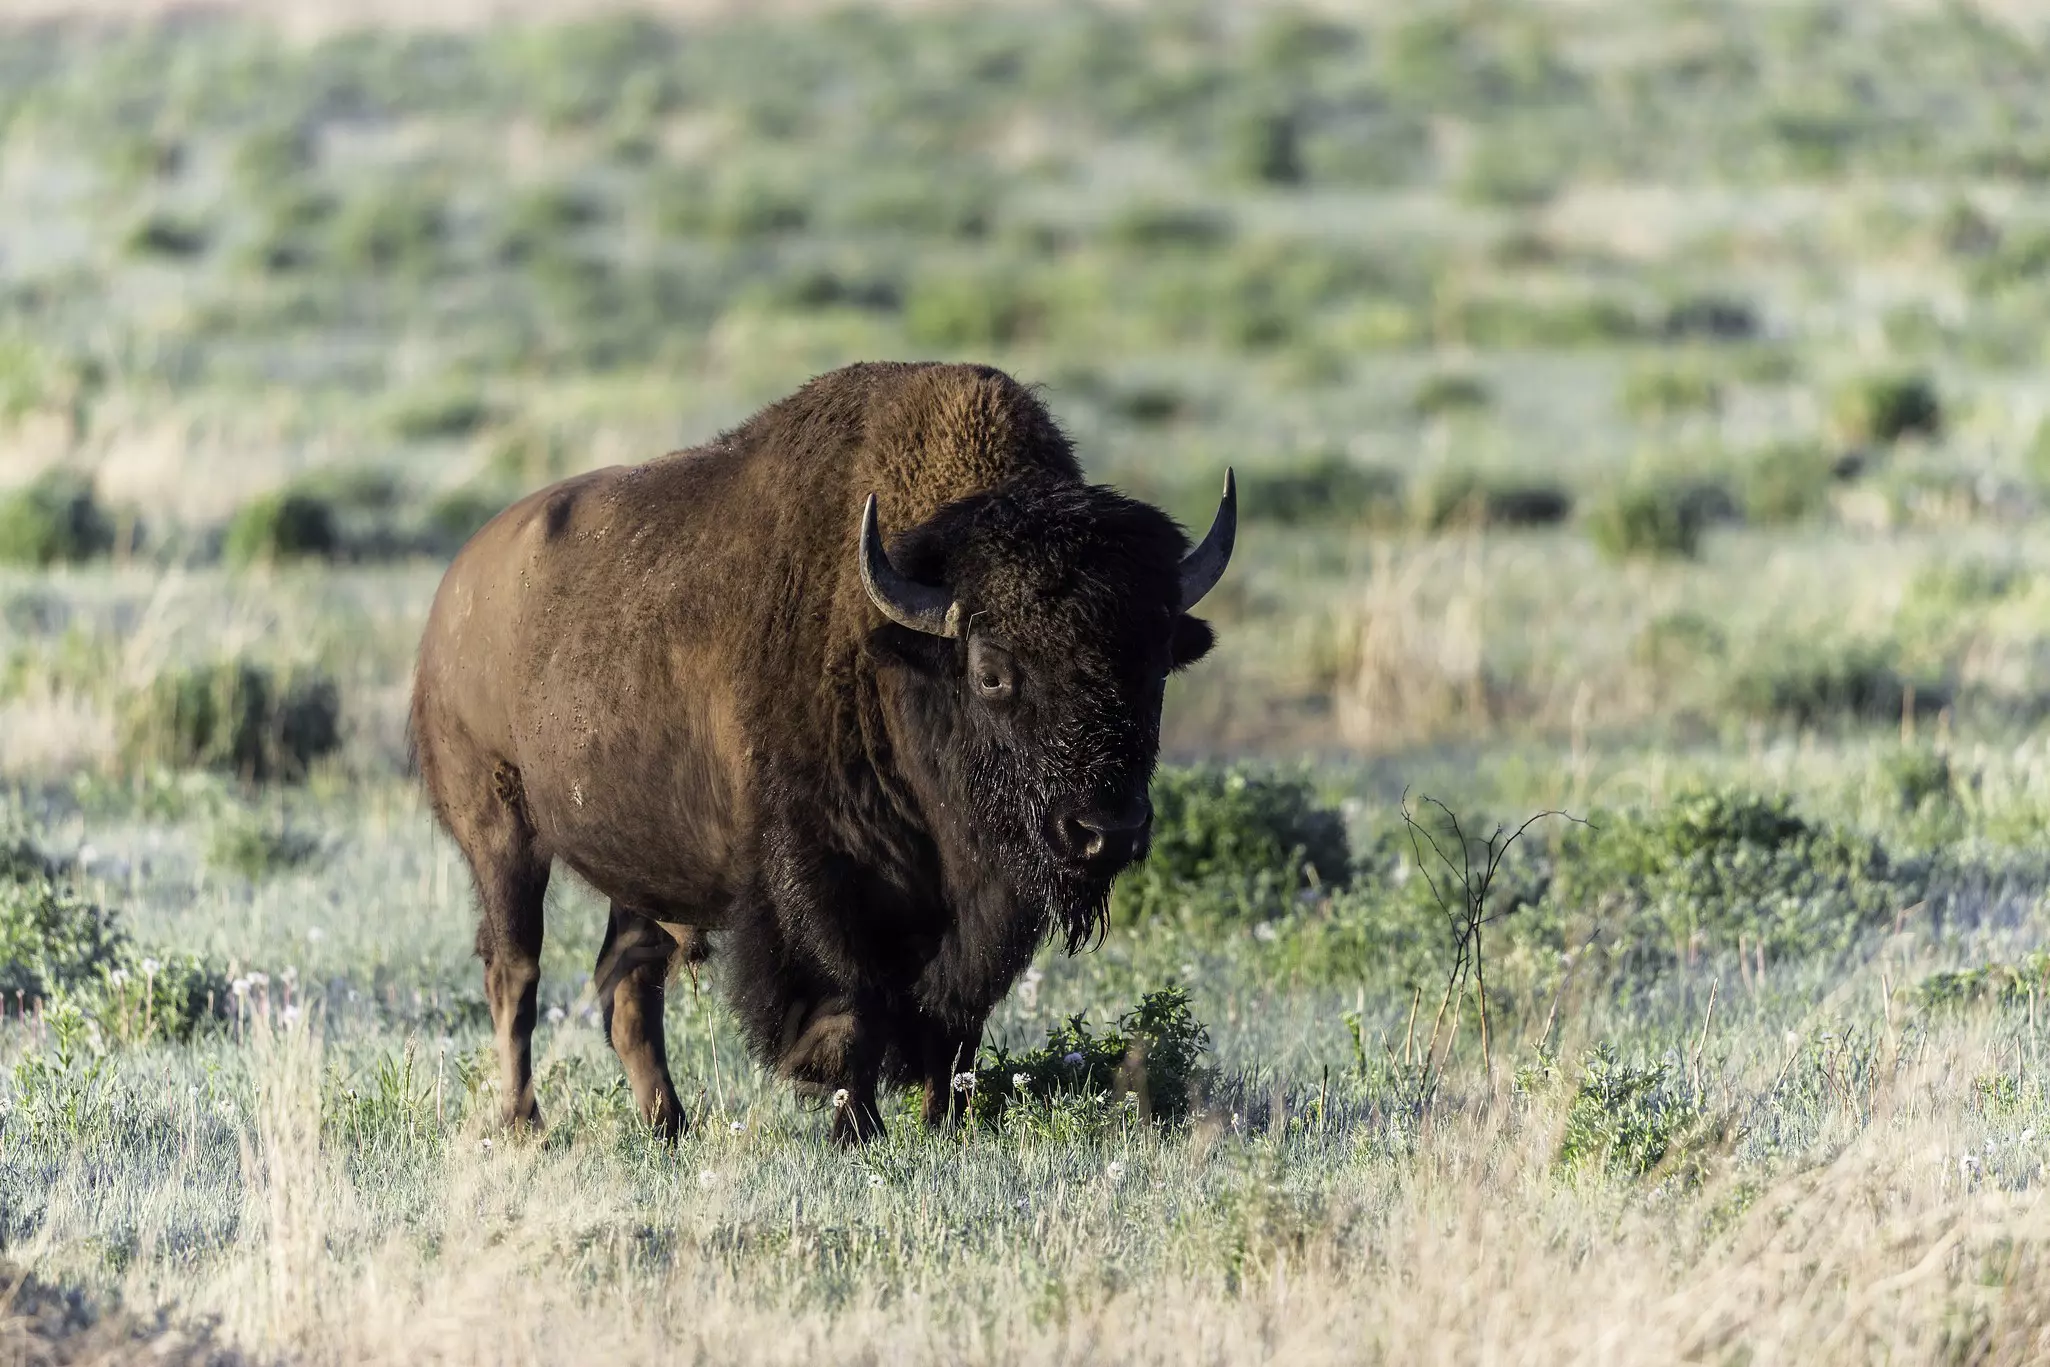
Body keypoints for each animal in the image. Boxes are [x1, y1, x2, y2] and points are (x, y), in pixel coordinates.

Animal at [411, 361, 1233, 1143]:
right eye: (992, 670)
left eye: (1156, 664)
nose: (1107, 831)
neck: (899, 651)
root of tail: (454, 593)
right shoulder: (817, 875)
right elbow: (852, 1003)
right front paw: (855, 1128)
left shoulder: (979, 908)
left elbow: (956, 1021)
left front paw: (945, 1123)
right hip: (503, 833)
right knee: (516, 971)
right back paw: (525, 1124)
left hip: (640, 867)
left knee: (627, 987)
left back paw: (668, 1126)